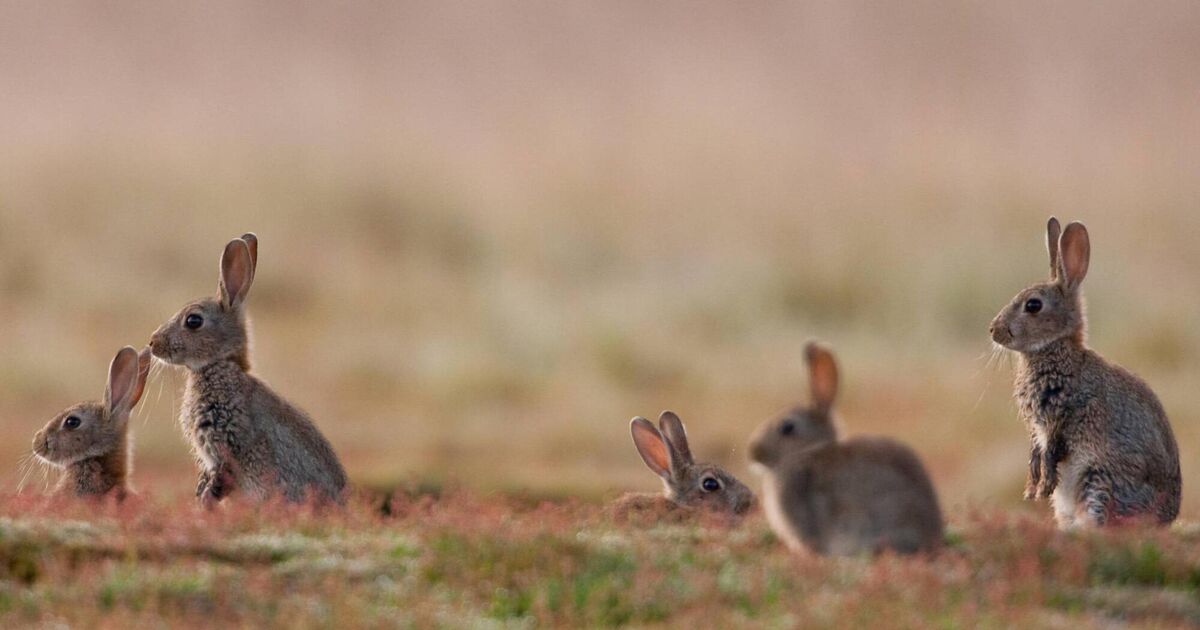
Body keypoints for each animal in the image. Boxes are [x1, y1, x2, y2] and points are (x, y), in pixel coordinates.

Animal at [149, 233, 347, 507]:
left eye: (193, 321)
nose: (152, 342)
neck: (220, 364)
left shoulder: (228, 443)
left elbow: (220, 480)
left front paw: (205, 504)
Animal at [989, 217, 1180, 528]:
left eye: (1033, 305)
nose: (994, 330)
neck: (1056, 349)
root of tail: (1163, 519)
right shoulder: (1037, 429)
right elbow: (1035, 454)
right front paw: (1032, 489)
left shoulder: (1062, 416)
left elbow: (1050, 452)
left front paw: (1042, 488)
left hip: (1100, 480)